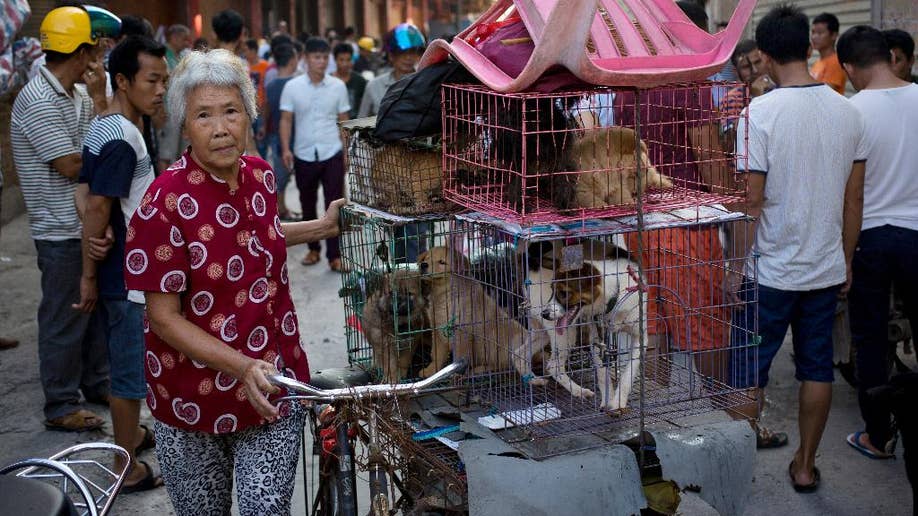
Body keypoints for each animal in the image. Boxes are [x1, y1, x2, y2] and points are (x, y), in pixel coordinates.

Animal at [418, 246, 548, 382]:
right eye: (427, 258)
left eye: (442, 262)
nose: (423, 265)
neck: (443, 294)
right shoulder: (437, 330)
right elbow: (436, 354)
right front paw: (431, 371)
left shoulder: (462, 332)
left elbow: (459, 356)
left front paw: (456, 374)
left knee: (504, 366)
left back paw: (479, 370)